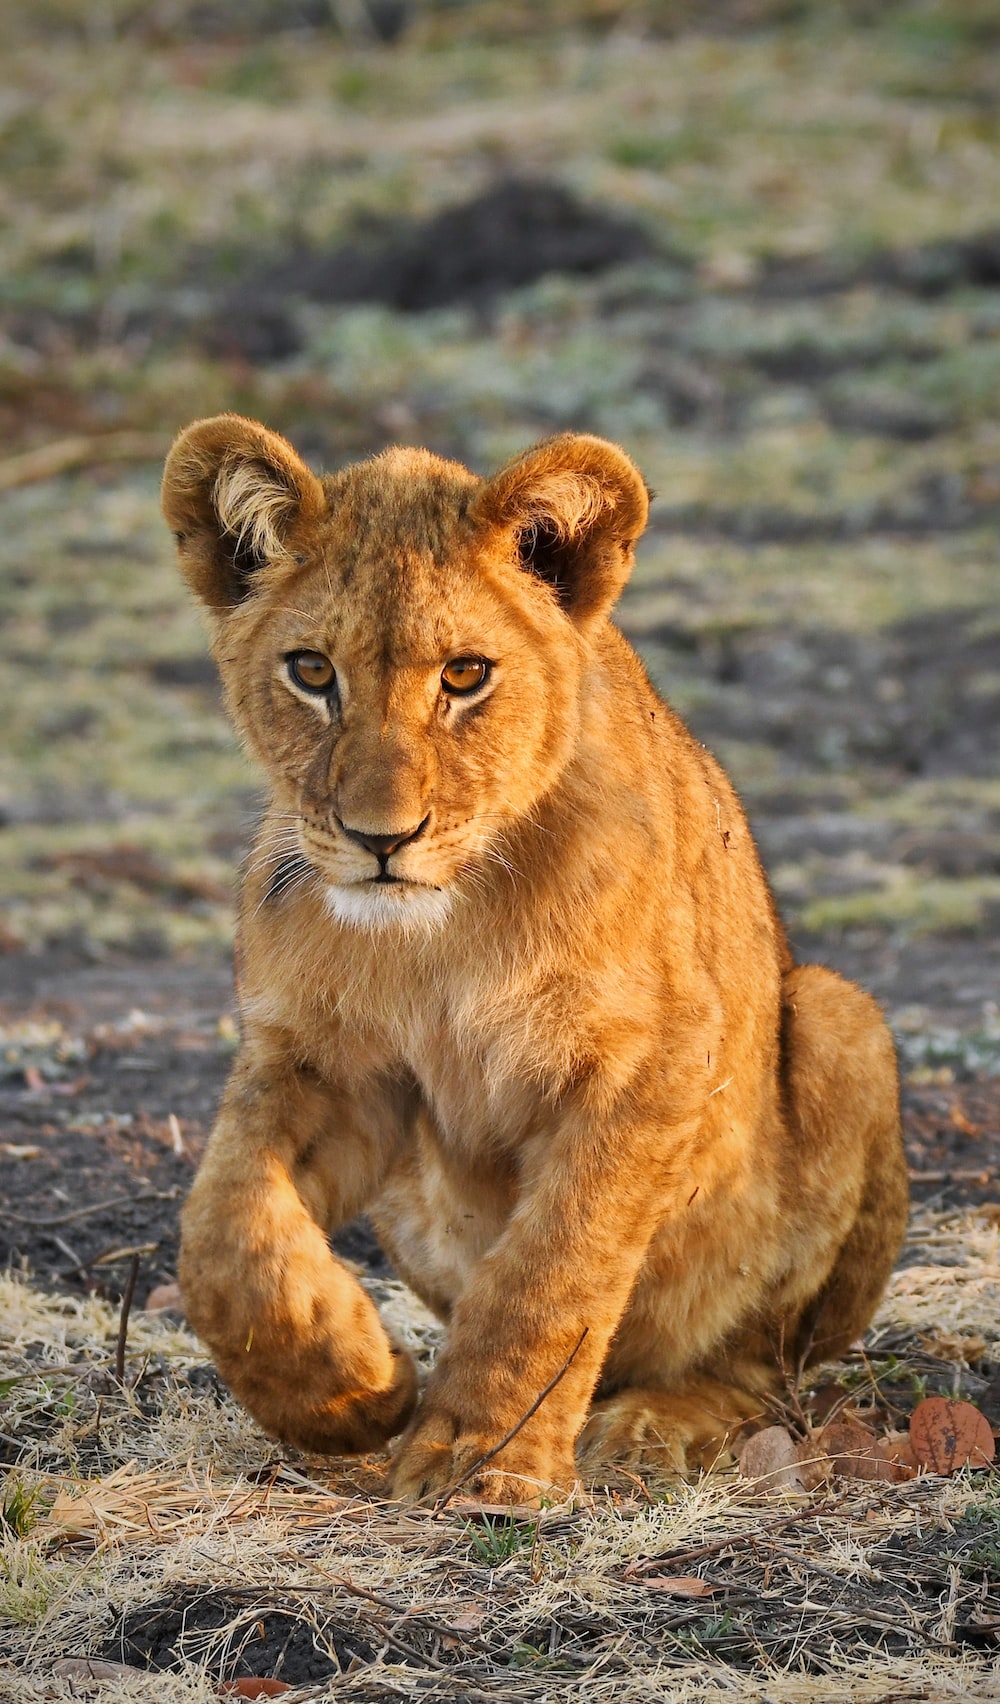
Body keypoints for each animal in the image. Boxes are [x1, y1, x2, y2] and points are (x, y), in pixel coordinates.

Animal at [161, 413, 908, 1503]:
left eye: (465, 675)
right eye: (312, 672)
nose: (381, 838)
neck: (440, 933)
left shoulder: (650, 1063)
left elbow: (552, 1268)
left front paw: (481, 1457)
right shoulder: (324, 1063)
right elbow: (222, 1230)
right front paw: (349, 1392)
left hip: (839, 1017)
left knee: (762, 1365)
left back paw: (653, 1427)